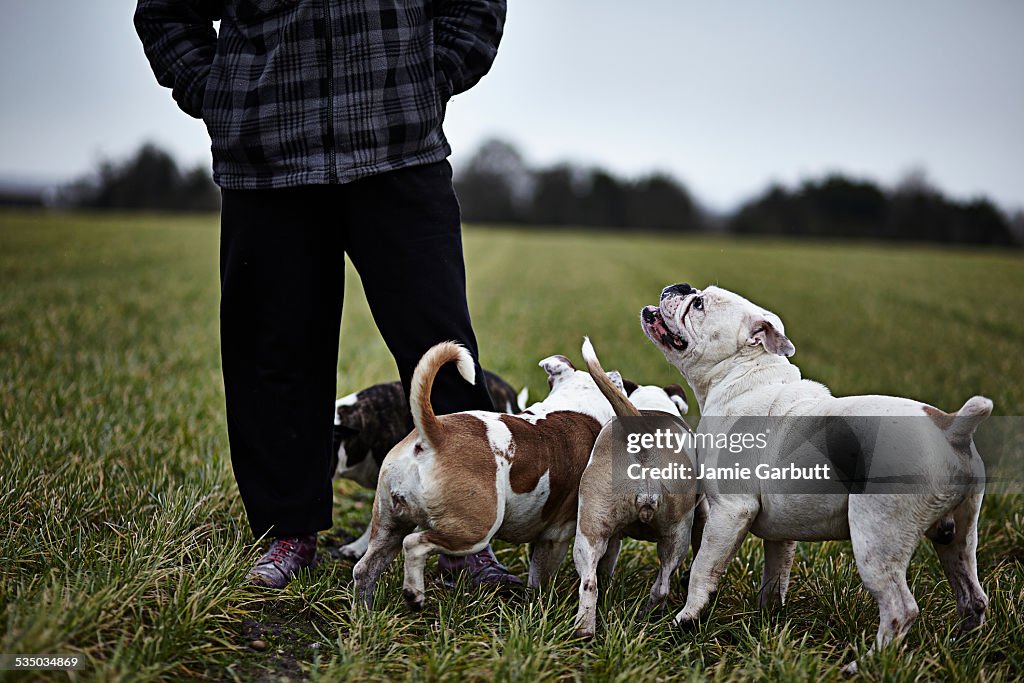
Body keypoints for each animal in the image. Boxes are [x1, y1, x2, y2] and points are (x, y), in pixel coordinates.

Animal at [352, 342, 622, 610]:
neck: (577, 403)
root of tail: (437, 434)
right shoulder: (556, 537)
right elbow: (541, 578)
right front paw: (539, 606)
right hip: (475, 530)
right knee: (414, 544)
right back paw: (414, 594)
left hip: (389, 524)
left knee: (365, 568)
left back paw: (365, 611)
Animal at [573, 339, 700, 643]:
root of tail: (641, 433)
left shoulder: (612, 536)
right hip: (676, 536)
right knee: (662, 585)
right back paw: (649, 616)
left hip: (591, 529)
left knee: (590, 582)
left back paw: (585, 629)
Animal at [643, 282, 987, 671]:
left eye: (698, 304)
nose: (680, 287)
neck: (742, 374)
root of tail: (952, 428)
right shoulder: (779, 535)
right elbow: (774, 579)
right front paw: (767, 623)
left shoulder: (730, 512)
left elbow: (703, 566)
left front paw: (687, 618)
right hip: (958, 539)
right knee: (973, 595)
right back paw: (962, 645)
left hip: (877, 539)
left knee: (901, 609)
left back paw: (863, 666)